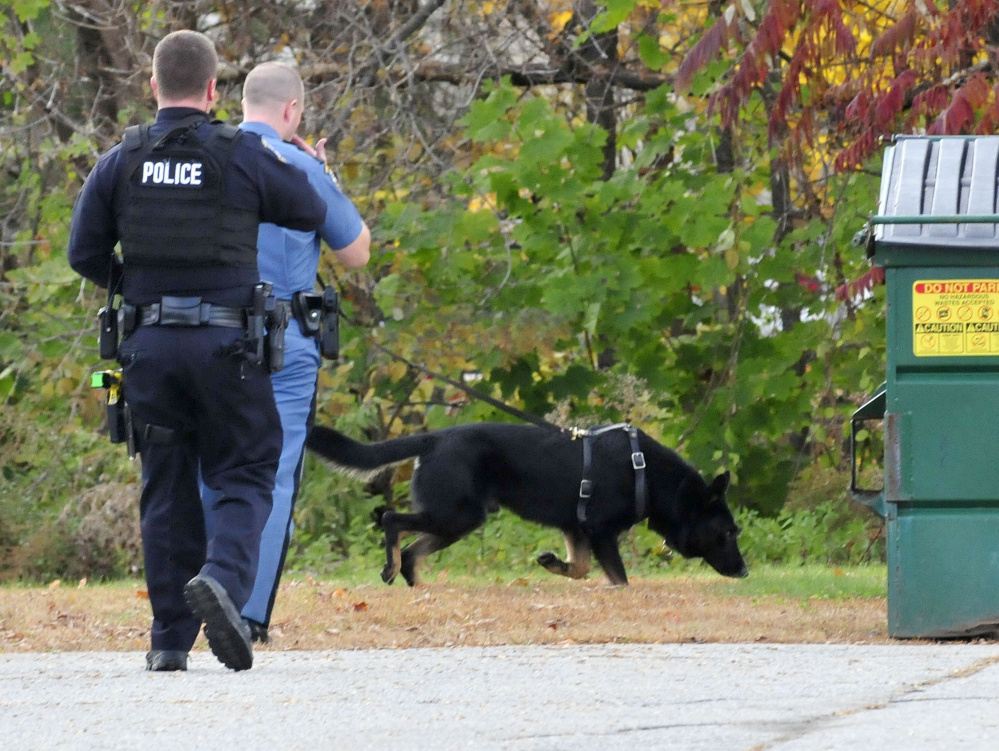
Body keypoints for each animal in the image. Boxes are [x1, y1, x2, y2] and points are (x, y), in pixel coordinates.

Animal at [308, 424, 748, 588]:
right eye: (727, 533)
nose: (745, 572)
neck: (646, 475)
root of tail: (435, 438)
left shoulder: (576, 528)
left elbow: (580, 567)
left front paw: (555, 564)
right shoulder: (601, 532)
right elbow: (619, 578)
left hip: (458, 519)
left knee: (414, 550)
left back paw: (417, 586)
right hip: (455, 514)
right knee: (392, 519)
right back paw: (391, 567)